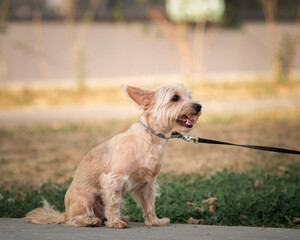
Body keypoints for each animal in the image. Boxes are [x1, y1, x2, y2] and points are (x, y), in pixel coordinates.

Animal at [25, 85, 202, 229]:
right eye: (175, 98)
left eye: (190, 96)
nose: (199, 106)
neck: (149, 139)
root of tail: (65, 212)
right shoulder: (113, 180)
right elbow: (114, 204)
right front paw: (115, 222)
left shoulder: (147, 184)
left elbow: (149, 205)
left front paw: (154, 221)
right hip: (87, 198)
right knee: (74, 220)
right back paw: (91, 221)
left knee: (99, 214)